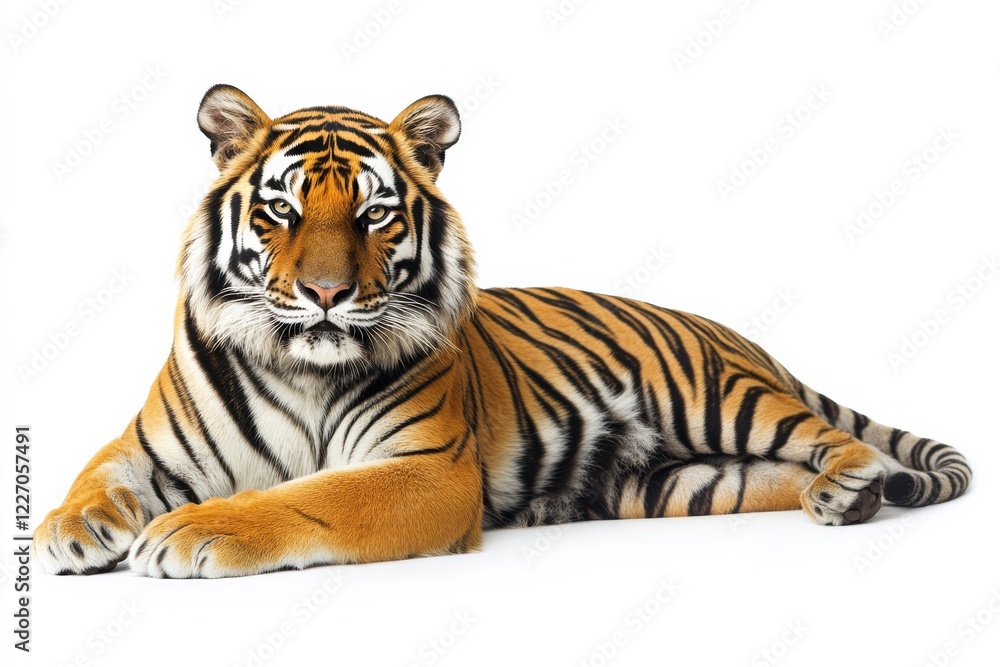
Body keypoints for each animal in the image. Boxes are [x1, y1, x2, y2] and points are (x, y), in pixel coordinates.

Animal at [34, 84, 972, 578]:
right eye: (283, 212)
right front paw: (68, 529)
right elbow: (96, 472)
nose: (327, 292)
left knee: (836, 439)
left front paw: (197, 531)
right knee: (772, 473)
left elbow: (308, 495)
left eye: (374, 214)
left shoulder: (425, 467)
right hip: (680, 481)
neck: (304, 363)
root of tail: (737, 335)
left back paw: (850, 490)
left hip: (721, 397)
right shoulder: (148, 446)